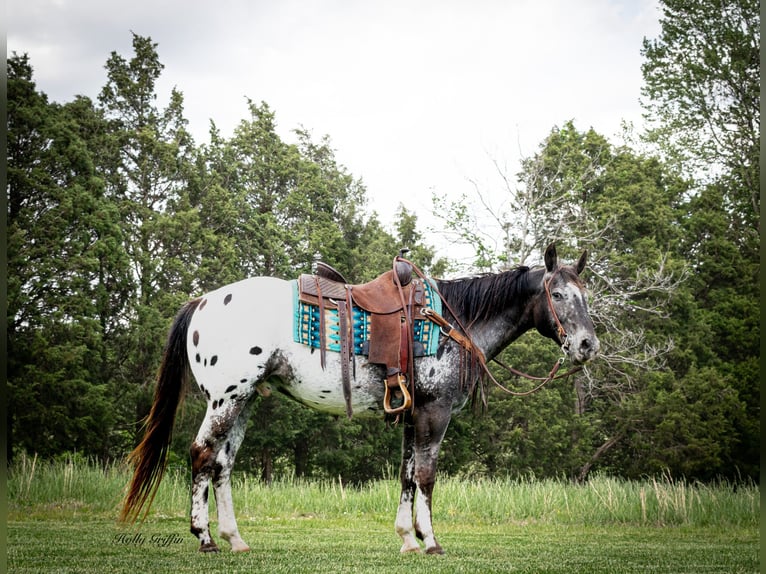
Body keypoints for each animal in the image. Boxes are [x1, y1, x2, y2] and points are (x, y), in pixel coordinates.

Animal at [120, 244, 600, 560]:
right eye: (558, 295)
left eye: (586, 295)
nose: (587, 345)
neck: (452, 322)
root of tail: (203, 301)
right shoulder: (434, 413)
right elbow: (426, 477)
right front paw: (431, 541)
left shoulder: (412, 415)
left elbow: (407, 476)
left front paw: (407, 538)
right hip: (226, 399)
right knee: (202, 455)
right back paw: (203, 538)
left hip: (244, 400)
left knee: (222, 464)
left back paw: (234, 538)